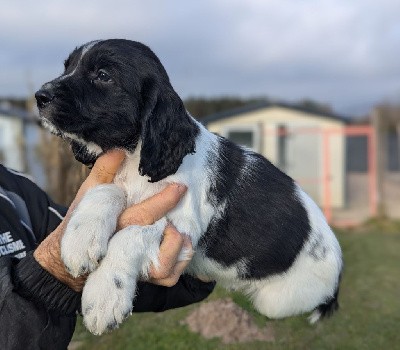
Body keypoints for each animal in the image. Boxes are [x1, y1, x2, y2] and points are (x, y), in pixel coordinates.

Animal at [35, 39, 340, 334]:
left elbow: (131, 233)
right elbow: (107, 191)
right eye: (67, 67)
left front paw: (105, 296)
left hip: (276, 302)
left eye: (103, 75)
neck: (135, 158)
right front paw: (81, 238)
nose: (40, 96)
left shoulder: (182, 226)